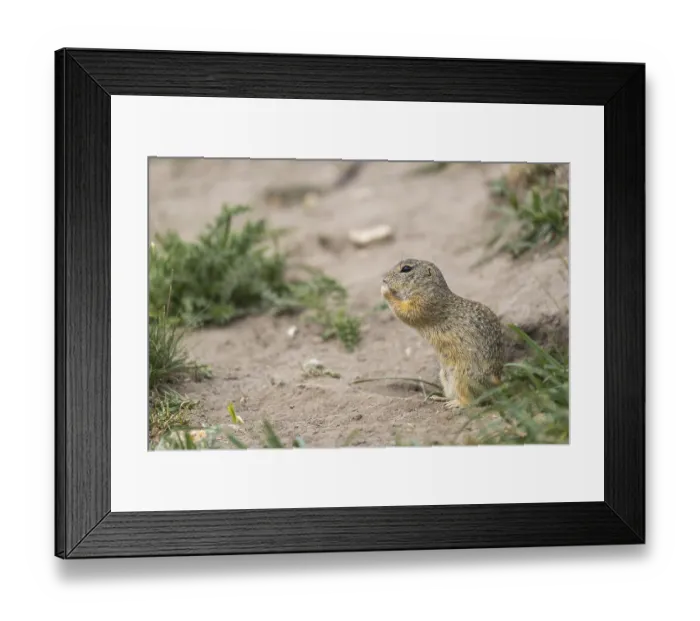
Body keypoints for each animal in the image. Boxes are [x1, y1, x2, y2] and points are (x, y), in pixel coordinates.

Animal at [381, 258, 504, 410]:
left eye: (406, 269)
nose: (384, 279)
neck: (429, 288)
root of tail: (496, 386)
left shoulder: (424, 302)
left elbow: (408, 312)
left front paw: (385, 291)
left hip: (462, 376)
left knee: (472, 400)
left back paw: (456, 403)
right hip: (445, 376)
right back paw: (440, 398)